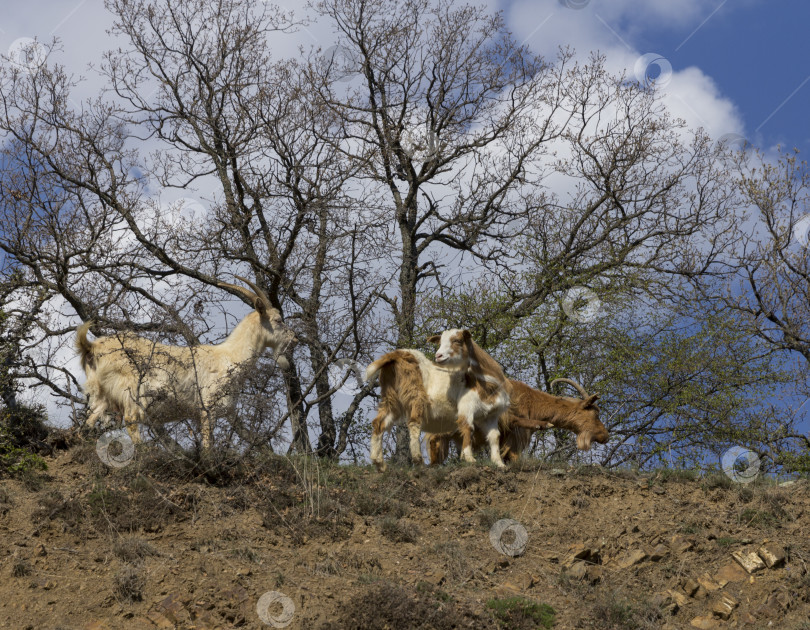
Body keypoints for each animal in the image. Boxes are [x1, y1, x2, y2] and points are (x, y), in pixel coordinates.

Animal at [75, 276, 296, 450]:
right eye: (278, 320)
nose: (293, 339)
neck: (229, 357)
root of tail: (92, 347)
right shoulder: (208, 408)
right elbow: (208, 445)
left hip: (102, 395)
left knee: (89, 421)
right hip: (130, 390)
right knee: (130, 420)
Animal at [368, 328, 512, 472]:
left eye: (457, 340)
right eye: (440, 342)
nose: (438, 356)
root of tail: (399, 354)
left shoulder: (491, 415)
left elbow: (495, 436)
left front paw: (499, 463)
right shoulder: (467, 407)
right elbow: (468, 428)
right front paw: (469, 458)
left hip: (391, 399)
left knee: (379, 423)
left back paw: (379, 463)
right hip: (416, 396)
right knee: (414, 423)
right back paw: (418, 461)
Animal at [422, 378, 608, 466]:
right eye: (595, 414)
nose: (605, 436)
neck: (532, 401)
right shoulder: (515, 432)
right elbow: (513, 450)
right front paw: (542, 424)